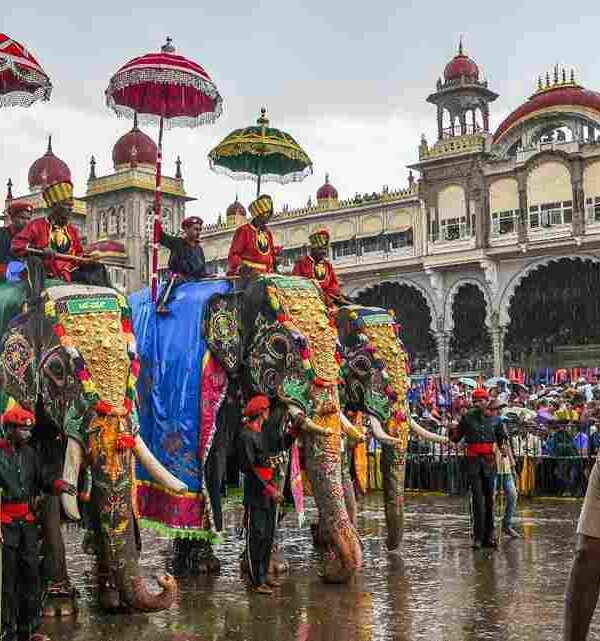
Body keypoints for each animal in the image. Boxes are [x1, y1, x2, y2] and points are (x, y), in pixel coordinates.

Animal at [0, 282, 186, 612]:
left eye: (132, 363)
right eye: (57, 369)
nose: (164, 578)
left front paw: (113, 602)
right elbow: (48, 490)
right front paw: (58, 607)